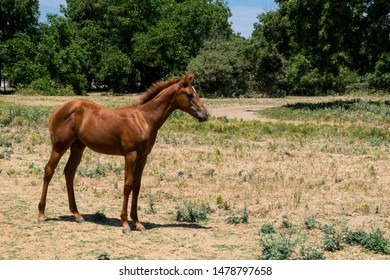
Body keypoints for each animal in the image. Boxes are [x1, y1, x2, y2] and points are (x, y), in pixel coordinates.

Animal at [37, 73, 209, 233]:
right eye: (190, 94)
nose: (205, 114)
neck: (143, 120)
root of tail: (58, 110)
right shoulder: (130, 155)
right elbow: (127, 185)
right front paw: (125, 224)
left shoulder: (143, 157)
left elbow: (137, 186)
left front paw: (138, 223)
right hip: (59, 147)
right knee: (49, 170)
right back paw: (41, 214)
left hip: (78, 147)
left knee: (69, 172)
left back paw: (77, 215)